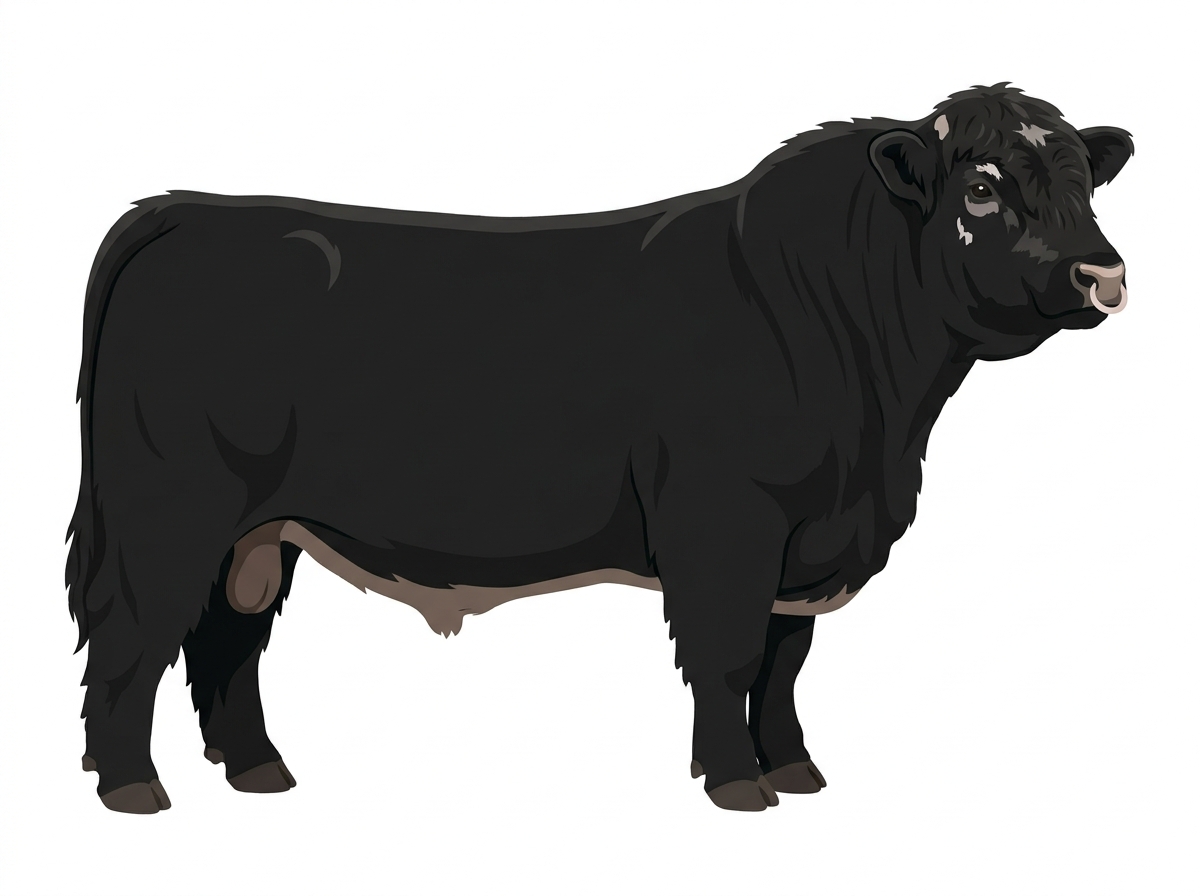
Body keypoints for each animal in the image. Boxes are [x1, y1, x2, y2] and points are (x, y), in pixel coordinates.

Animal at [66, 83, 1133, 813]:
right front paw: (737, 785)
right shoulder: (727, 524)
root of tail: (184, 208)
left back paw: (259, 771)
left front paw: (797, 769)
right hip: (164, 510)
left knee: (226, 636)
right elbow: (731, 656)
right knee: (133, 630)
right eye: (983, 188)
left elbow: (787, 660)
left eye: (1085, 181)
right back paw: (131, 789)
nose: (1105, 272)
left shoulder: (808, 541)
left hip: (257, 529)